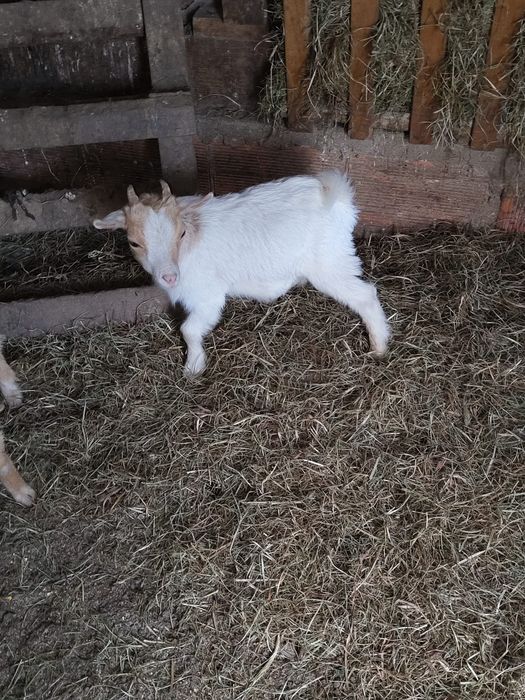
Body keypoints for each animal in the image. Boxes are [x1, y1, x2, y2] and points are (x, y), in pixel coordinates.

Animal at [94, 171, 391, 376]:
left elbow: (189, 330)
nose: (169, 277)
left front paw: (193, 368)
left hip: (330, 263)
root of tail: (337, 196)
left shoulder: (208, 296)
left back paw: (379, 347)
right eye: (134, 242)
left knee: (365, 295)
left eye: (181, 233)